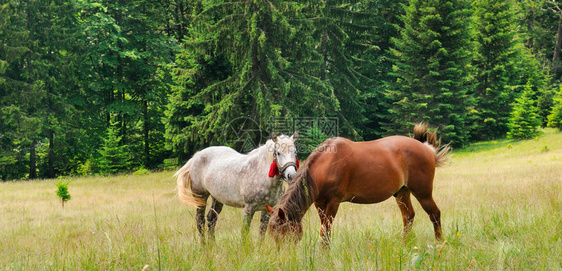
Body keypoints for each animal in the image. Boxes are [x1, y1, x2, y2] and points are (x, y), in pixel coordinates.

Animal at [264, 123, 448, 246]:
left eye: (283, 233)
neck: (325, 165)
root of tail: (426, 148)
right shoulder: (320, 203)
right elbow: (324, 229)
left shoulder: (334, 202)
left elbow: (325, 229)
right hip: (402, 193)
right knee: (408, 216)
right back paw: (405, 244)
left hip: (423, 193)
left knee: (434, 214)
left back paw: (439, 243)